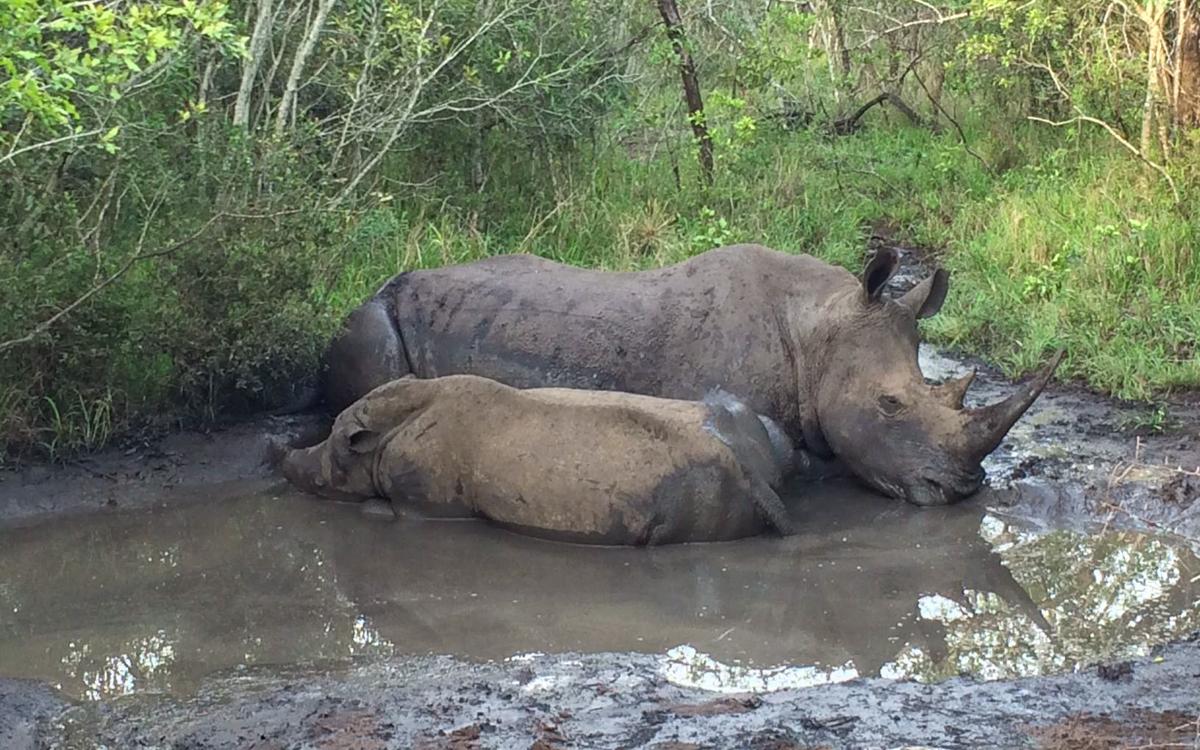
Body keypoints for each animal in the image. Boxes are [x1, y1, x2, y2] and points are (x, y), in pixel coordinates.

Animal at [282, 374, 796, 544]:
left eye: (326, 465)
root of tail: (752, 477)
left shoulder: (423, 503)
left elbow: (383, 509)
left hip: (697, 493)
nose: (288, 462)